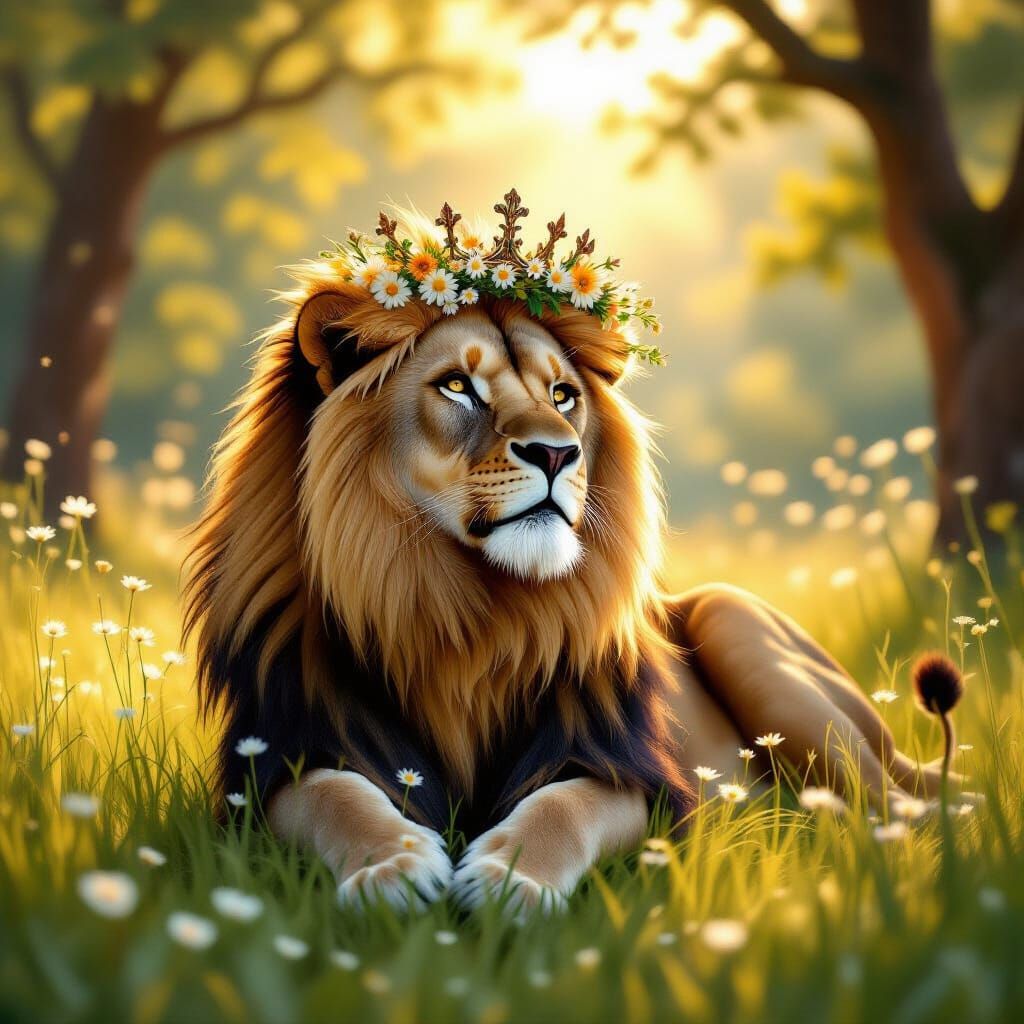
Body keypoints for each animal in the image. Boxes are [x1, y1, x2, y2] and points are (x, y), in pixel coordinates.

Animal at [185, 252, 945, 914]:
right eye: (457, 386)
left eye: (563, 395)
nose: (557, 453)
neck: (456, 607)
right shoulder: (277, 755)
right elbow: (333, 795)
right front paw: (392, 868)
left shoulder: (627, 768)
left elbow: (563, 805)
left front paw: (508, 880)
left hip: (748, 638)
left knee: (907, 808)